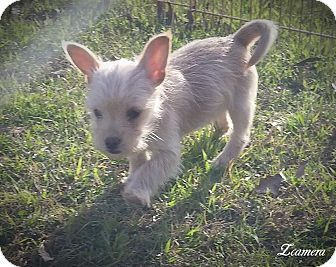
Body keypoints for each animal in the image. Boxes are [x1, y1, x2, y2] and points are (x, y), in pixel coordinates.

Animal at [63, 19, 278, 207]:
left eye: (134, 113)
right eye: (97, 113)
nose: (110, 143)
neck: (153, 120)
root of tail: (235, 39)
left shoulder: (168, 153)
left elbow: (150, 169)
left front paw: (136, 192)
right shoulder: (137, 147)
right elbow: (139, 162)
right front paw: (131, 178)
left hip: (241, 104)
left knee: (240, 135)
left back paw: (223, 160)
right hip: (220, 97)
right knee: (222, 117)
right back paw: (220, 130)